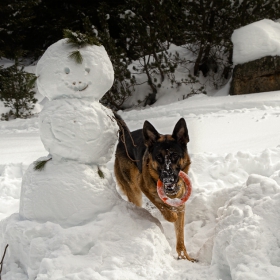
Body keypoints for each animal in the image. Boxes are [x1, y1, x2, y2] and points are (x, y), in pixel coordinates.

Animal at [113, 113, 195, 260]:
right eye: (158, 157)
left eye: (175, 155)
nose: (168, 178)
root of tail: (125, 136)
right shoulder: (144, 186)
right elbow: (166, 210)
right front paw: (171, 214)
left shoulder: (181, 202)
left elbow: (180, 235)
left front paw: (185, 257)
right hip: (134, 190)